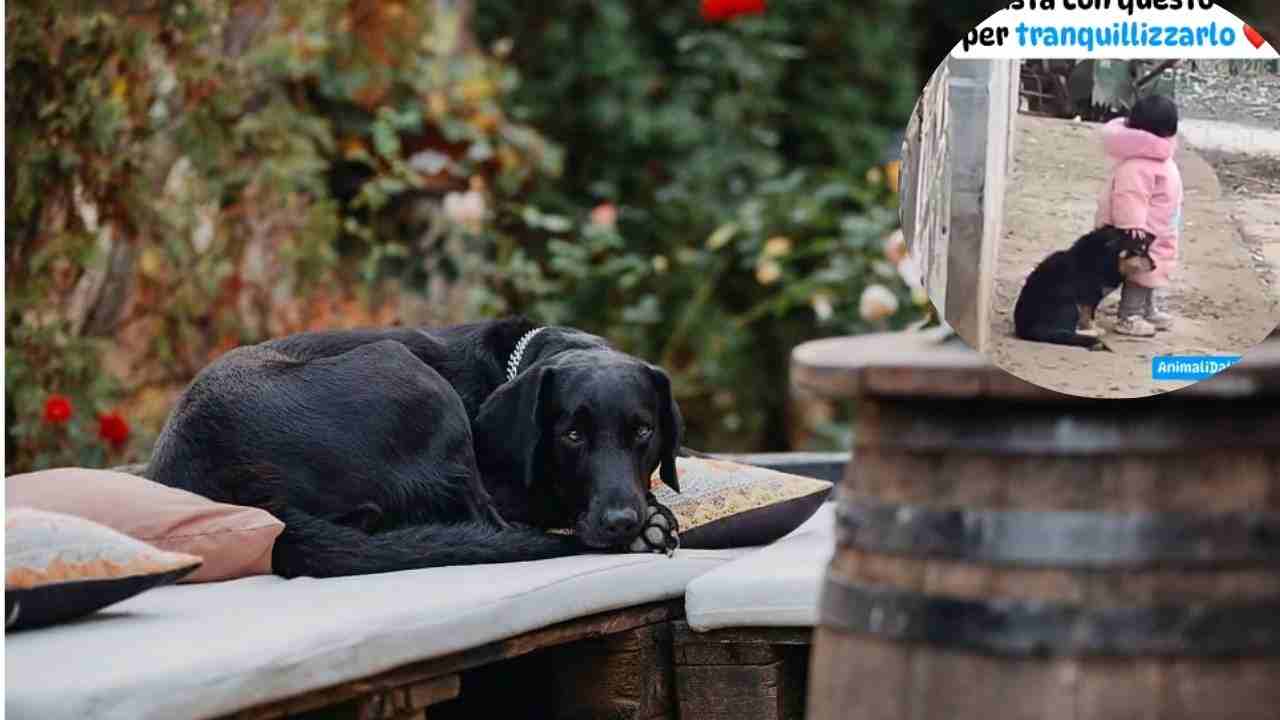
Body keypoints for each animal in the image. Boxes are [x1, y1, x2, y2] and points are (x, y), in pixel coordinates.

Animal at [1013, 222, 1157, 348]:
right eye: (1138, 251)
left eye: (1146, 249)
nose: (1155, 266)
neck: (1106, 258)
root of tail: (1027, 329)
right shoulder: (1089, 298)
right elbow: (1089, 316)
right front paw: (1093, 328)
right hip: (1069, 303)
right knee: (1066, 331)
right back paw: (1089, 333)